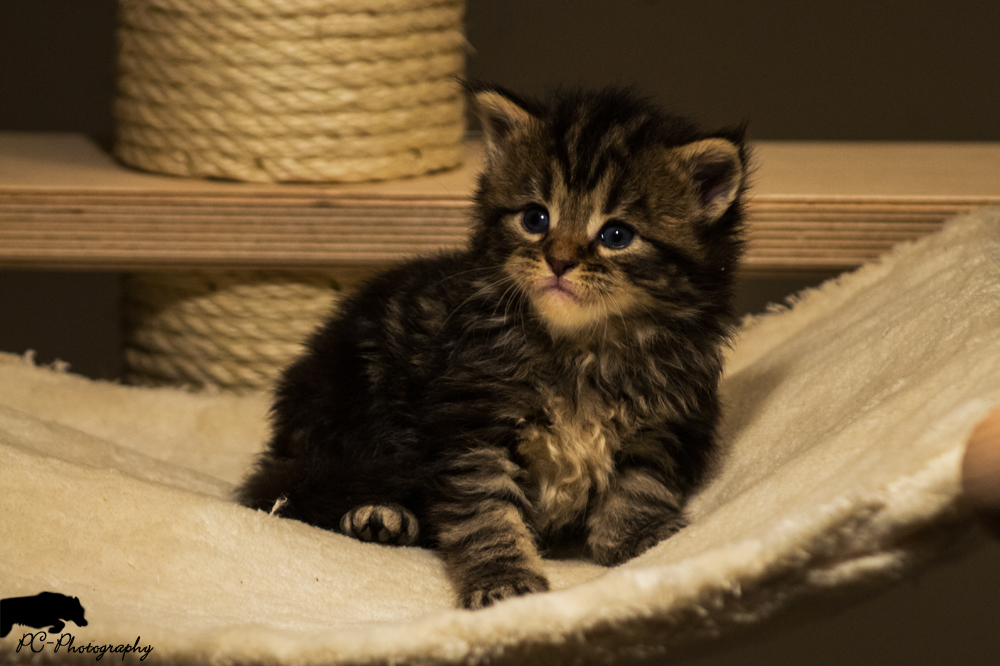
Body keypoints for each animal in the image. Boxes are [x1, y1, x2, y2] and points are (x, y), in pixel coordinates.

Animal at [238, 85, 748, 608]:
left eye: (617, 235)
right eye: (535, 218)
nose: (559, 260)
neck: (581, 350)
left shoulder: (666, 421)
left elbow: (641, 484)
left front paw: (639, 537)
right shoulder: (472, 424)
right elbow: (483, 513)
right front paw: (502, 577)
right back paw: (379, 514)